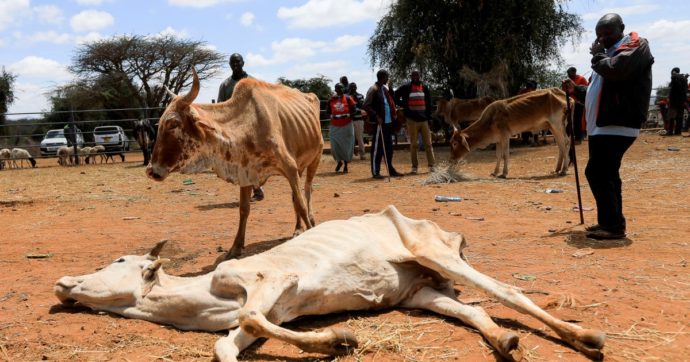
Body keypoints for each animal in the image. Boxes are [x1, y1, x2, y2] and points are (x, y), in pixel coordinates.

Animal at [56, 206, 604, 362]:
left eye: (120, 259)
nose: (63, 283)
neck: (200, 295)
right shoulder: (264, 318)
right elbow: (226, 346)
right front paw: (335, 339)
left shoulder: (270, 279)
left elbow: (249, 313)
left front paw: (340, 338)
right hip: (420, 291)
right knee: (472, 310)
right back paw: (503, 340)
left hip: (435, 252)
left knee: (507, 292)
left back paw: (588, 338)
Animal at [146, 68, 322, 260]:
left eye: (173, 124)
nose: (151, 171)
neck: (248, 125)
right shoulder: (246, 173)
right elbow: (243, 209)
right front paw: (236, 247)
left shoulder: (290, 168)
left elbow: (301, 203)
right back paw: (298, 228)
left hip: (315, 159)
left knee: (307, 191)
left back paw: (309, 222)